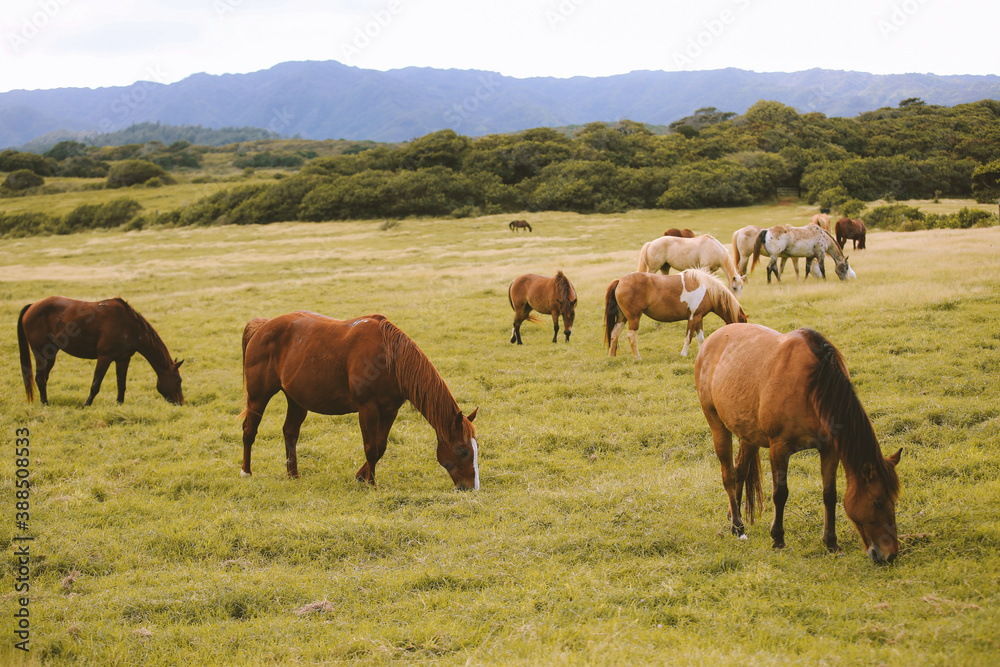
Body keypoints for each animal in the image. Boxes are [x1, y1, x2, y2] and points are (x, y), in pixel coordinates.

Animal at [17, 298, 186, 408]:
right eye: (179, 381)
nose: (181, 403)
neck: (129, 326)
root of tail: (32, 306)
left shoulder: (123, 359)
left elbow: (121, 384)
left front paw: (119, 404)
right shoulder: (105, 357)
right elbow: (95, 384)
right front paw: (86, 405)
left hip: (51, 354)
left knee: (43, 378)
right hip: (40, 352)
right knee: (40, 378)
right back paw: (45, 404)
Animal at [240, 314, 478, 490]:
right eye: (463, 450)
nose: (470, 488)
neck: (389, 358)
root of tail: (262, 326)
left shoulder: (390, 411)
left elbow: (380, 447)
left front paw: (361, 476)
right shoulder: (368, 409)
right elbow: (371, 448)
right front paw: (371, 484)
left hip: (296, 400)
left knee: (290, 433)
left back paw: (293, 475)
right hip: (258, 396)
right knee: (249, 430)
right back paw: (246, 472)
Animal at [600, 268, 752, 360]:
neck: (707, 289)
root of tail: (620, 280)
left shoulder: (699, 318)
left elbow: (700, 338)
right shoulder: (693, 318)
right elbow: (688, 337)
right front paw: (683, 354)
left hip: (622, 317)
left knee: (614, 334)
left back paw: (612, 356)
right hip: (633, 318)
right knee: (631, 336)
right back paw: (638, 358)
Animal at [700, 324, 904, 564]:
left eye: (893, 501)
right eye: (877, 502)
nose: (890, 555)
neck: (813, 386)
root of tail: (711, 340)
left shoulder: (830, 449)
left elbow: (829, 494)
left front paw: (831, 542)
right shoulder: (779, 448)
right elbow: (780, 494)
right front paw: (778, 539)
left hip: (749, 435)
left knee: (740, 470)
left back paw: (734, 517)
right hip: (717, 425)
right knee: (729, 475)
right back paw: (738, 527)